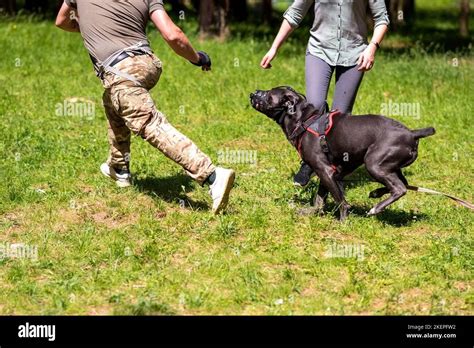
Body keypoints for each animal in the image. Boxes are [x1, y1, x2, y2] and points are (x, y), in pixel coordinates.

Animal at [250, 86, 436, 220]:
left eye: (268, 94)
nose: (253, 92)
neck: (304, 121)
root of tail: (412, 133)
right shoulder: (326, 173)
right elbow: (319, 199)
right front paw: (311, 213)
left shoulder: (325, 170)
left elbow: (341, 202)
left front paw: (343, 222)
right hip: (390, 166)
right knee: (403, 183)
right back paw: (375, 193)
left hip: (374, 163)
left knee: (400, 188)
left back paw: (375, 208)